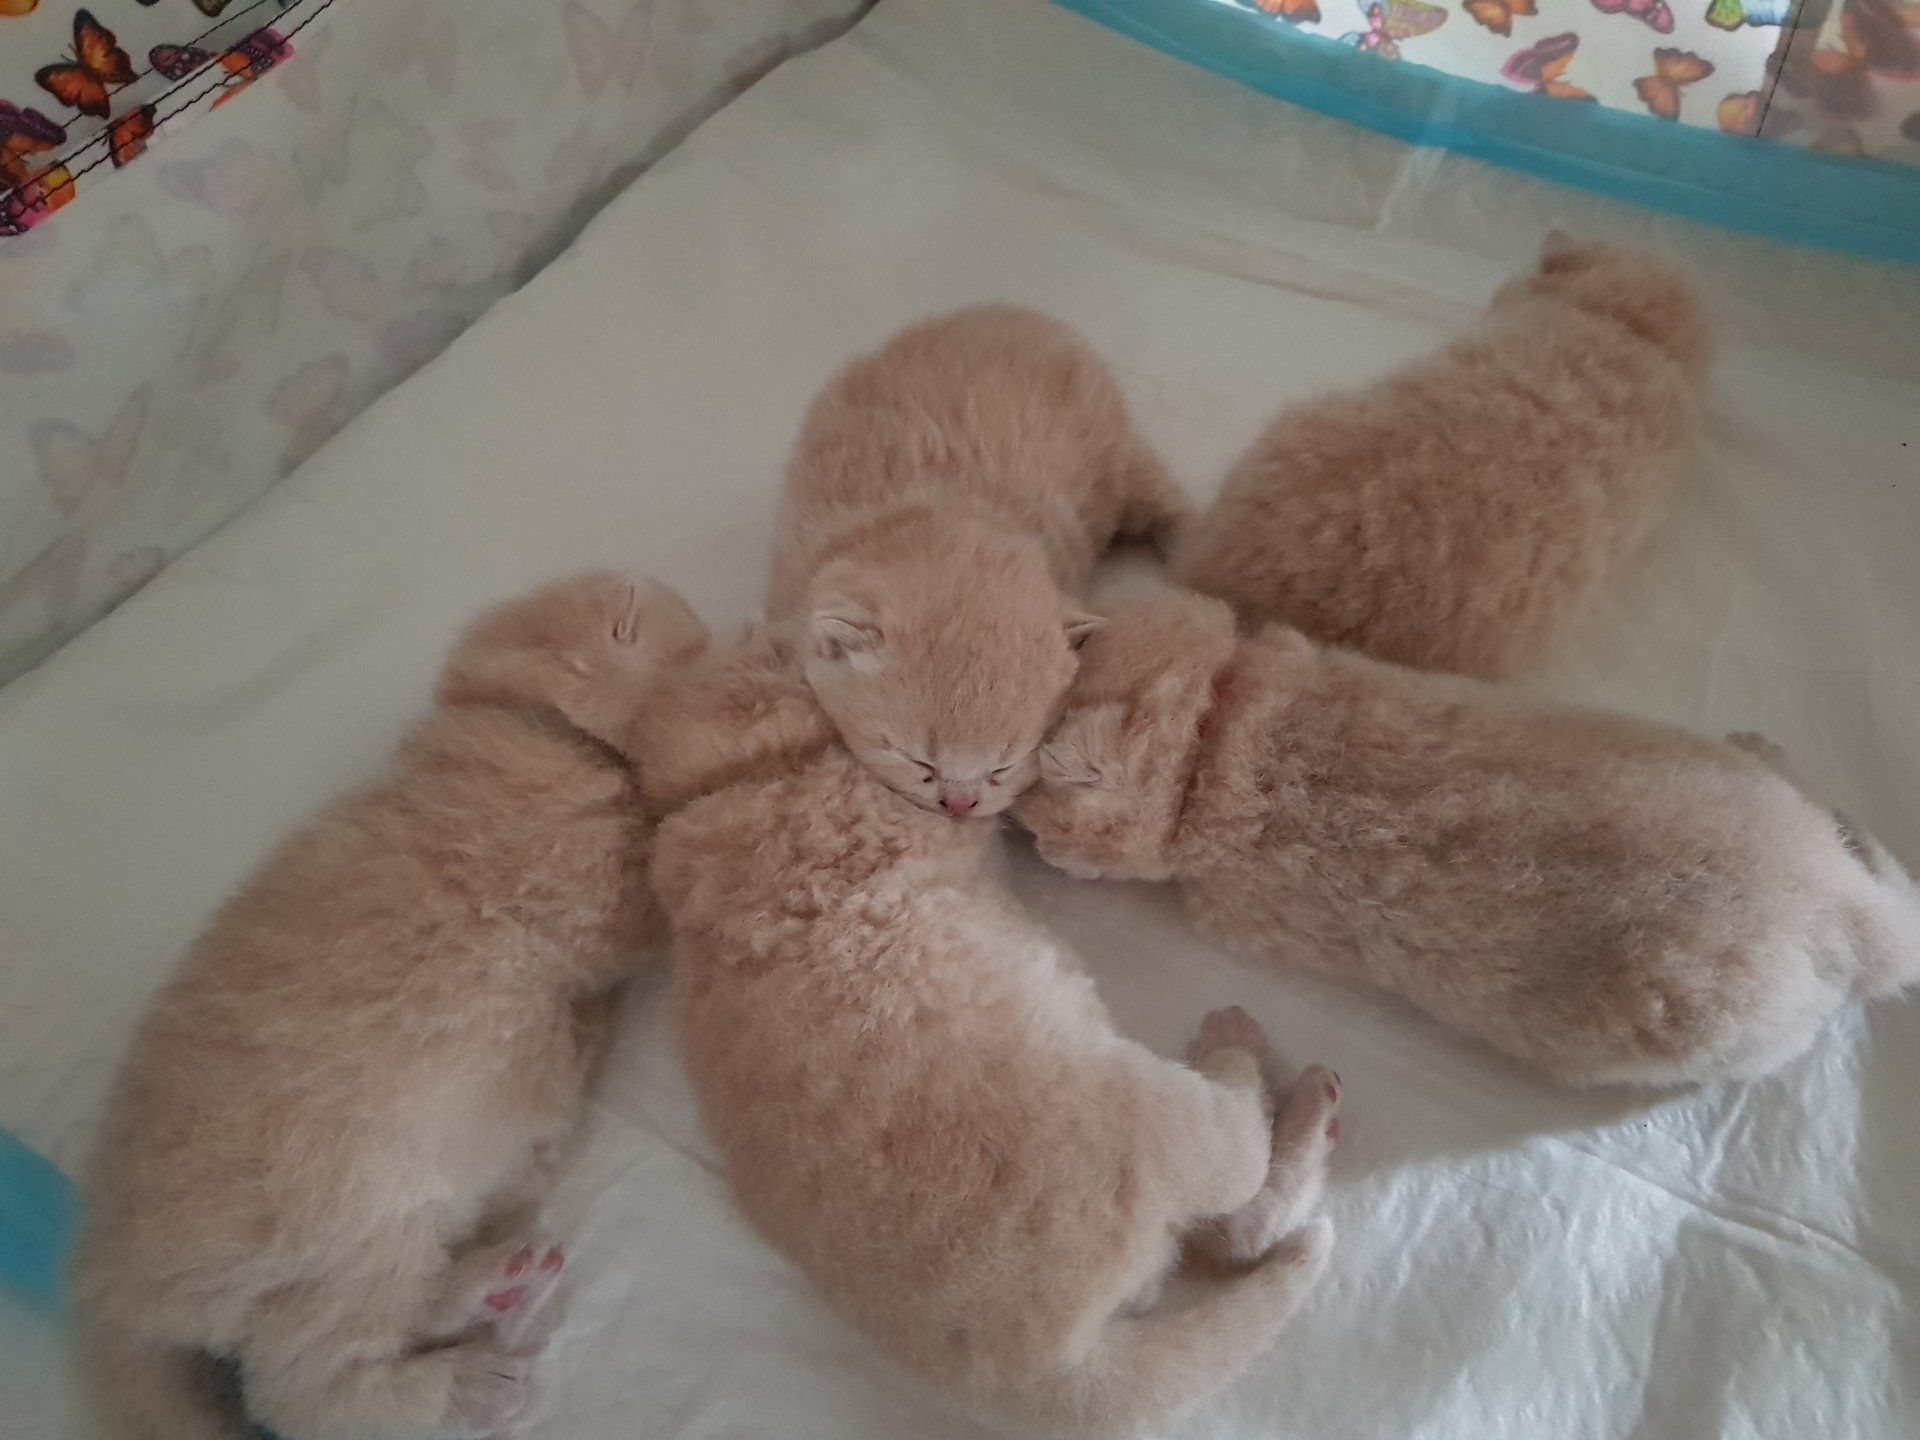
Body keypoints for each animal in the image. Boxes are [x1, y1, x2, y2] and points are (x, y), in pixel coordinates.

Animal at [72, 572, 710, 1440]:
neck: (522, 722)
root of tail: (119, 1292)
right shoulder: (592, 883)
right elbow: (652, 870)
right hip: (339, 1242)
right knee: (313, 1391)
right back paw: (465, 1383)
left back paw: (493, 1284)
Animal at [765, 304, 1187, 820]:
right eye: (918, 762)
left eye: (1002, 767)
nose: (959, 804)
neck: (939, 510)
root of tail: (1023, 314)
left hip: (1121, 456)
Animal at [1015, 586, 1920, 1088]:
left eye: (1035, 819)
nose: (1023, 846)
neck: (1215, 725)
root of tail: (1835, 905)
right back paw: (1780, 759)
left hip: (1725, 1029)